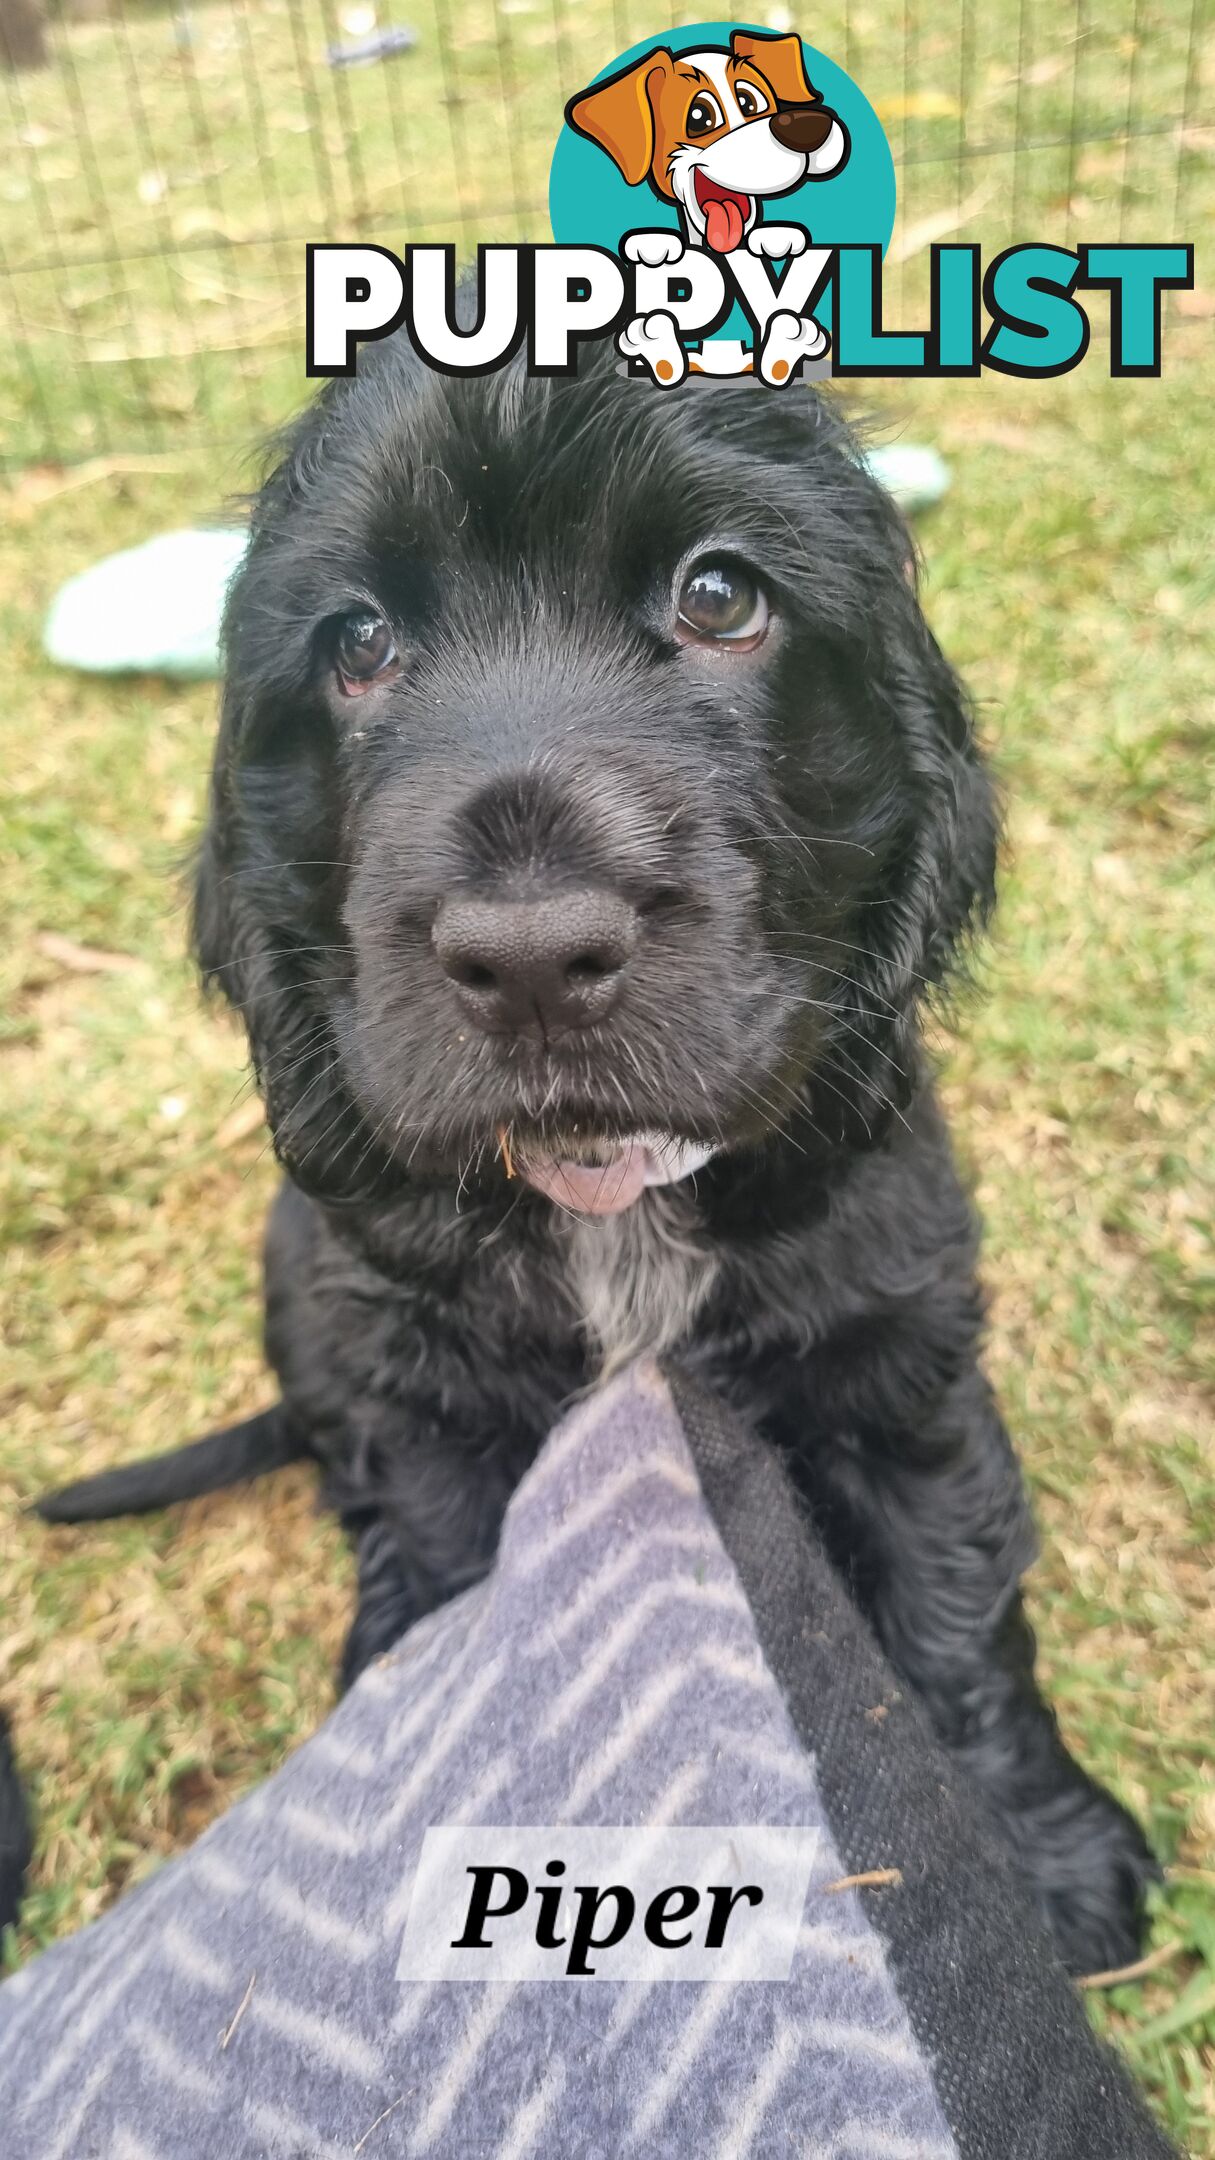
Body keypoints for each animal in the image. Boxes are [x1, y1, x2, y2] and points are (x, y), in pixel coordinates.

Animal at [40, 336, 1150, 1978]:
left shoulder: (897, 1348)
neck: (611, 1188)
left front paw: (1044, 1860)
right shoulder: (428, 1393)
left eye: (719, 597)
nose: (528, 958)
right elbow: (451, 1585)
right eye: (358, 643)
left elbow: (955, 1589)